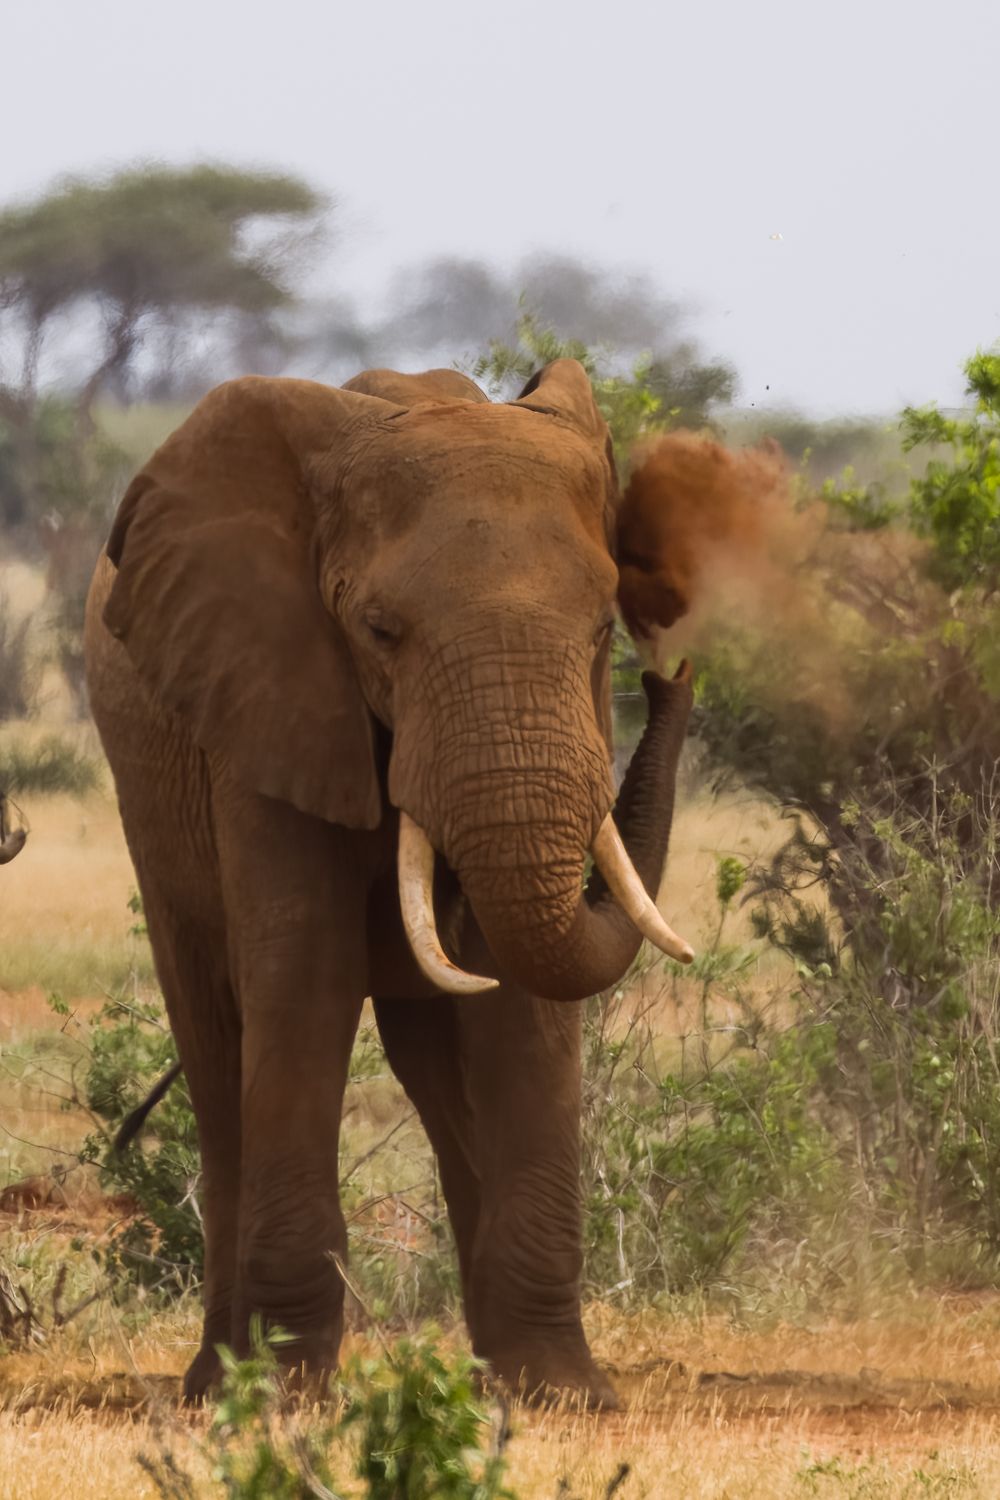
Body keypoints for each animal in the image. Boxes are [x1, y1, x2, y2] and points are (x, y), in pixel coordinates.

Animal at [83, 358, 695, 1409]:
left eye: (601, 632)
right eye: (379, 630)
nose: (672, 676)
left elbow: (523, 998)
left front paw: (562, 1395)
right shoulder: (266, 694)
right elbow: (305, 977)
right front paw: (288, 1395)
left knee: (440, 1074)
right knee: (215, 1049)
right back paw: (215, 1384)